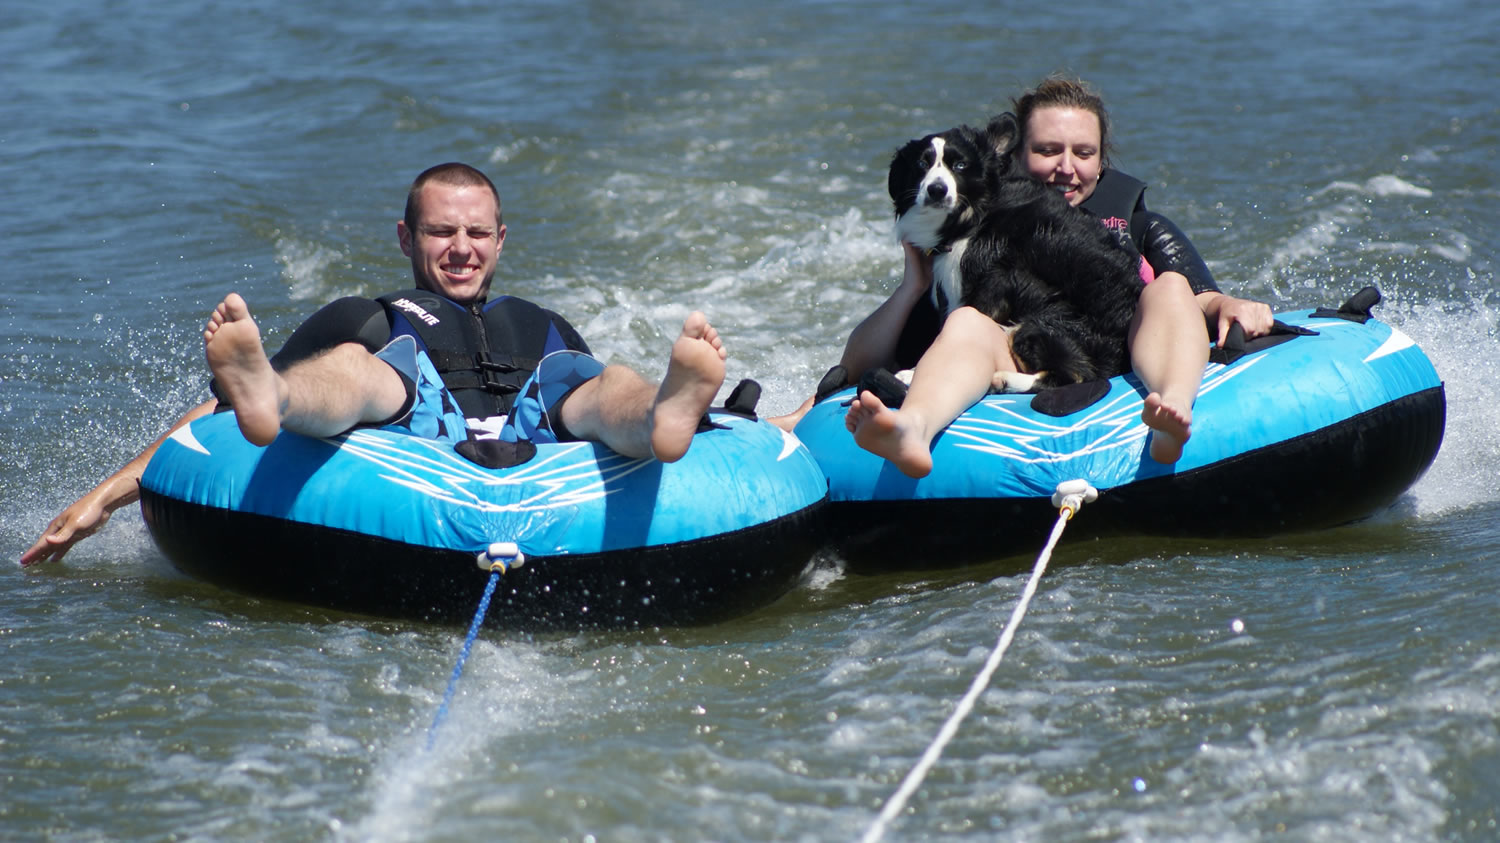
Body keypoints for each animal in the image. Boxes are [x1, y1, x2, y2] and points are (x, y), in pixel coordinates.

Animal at [882, 113, 1140, 390]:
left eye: (960, 165)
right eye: (922, 163)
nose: (937, 190)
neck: (974, 215)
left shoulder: (990, 283)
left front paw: (912, 374)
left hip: (1040, 321)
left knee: (1076, 376)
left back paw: (1004, 379)